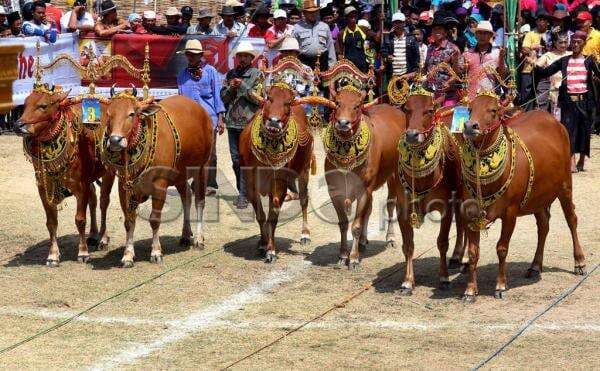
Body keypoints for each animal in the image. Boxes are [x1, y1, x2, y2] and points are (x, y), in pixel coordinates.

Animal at [14, 85, 115, 268]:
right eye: (24, 105)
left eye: (43, 106)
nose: (18, 126)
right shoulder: (44, 189)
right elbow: (51, 222)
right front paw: (53, 255)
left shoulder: (80, 186)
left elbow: (80, 219)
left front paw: (83, 253)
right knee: (93, 199)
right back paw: (93, 234)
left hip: (108, 173)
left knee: (104, 202)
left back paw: (103, 238)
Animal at [103, 90, 213, 268]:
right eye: (108, 114)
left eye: (132, 114)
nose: (115, 140)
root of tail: (202, 111)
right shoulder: (123, 187)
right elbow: (129, 221)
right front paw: (127, 255)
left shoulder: (160, 184)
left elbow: (154, 220)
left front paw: (156, 252)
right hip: (180, 174)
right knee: (187, 197)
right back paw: (185, 235)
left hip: (203, 167)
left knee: (199, 202)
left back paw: (198, 239)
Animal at [238, 84, 316, 264]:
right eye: (269, 98)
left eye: (288, 102)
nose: (274, 121)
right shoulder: (250, 181)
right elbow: (261, 215)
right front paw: (263, 243)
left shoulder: (279, 182)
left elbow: (273, 214)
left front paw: (271, 250)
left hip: (304, 170)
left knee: (304, 199)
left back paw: (305, 234)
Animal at [396, 93, 466, 296]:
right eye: (406, 109)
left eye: (428, 110)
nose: (412, 135)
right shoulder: (402, 208)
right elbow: (408, 245)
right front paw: (407, 281)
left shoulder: (446, 207)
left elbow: (442, 242)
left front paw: (443, 278)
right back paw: (457, 256)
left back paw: (463, 259)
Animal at [460, 93, 584, 302]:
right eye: (470, 109)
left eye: (493, 110)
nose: (470, 126)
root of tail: (554, 121)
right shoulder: (470, 214)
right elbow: (472, 252)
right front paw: (470, 290)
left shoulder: (510, 212)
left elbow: (502, 248)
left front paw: (500, 286)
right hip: (538, 197)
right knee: (543, 225)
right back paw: (535, 266)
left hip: (565, 186)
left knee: (571, 219)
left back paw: (579, 262)